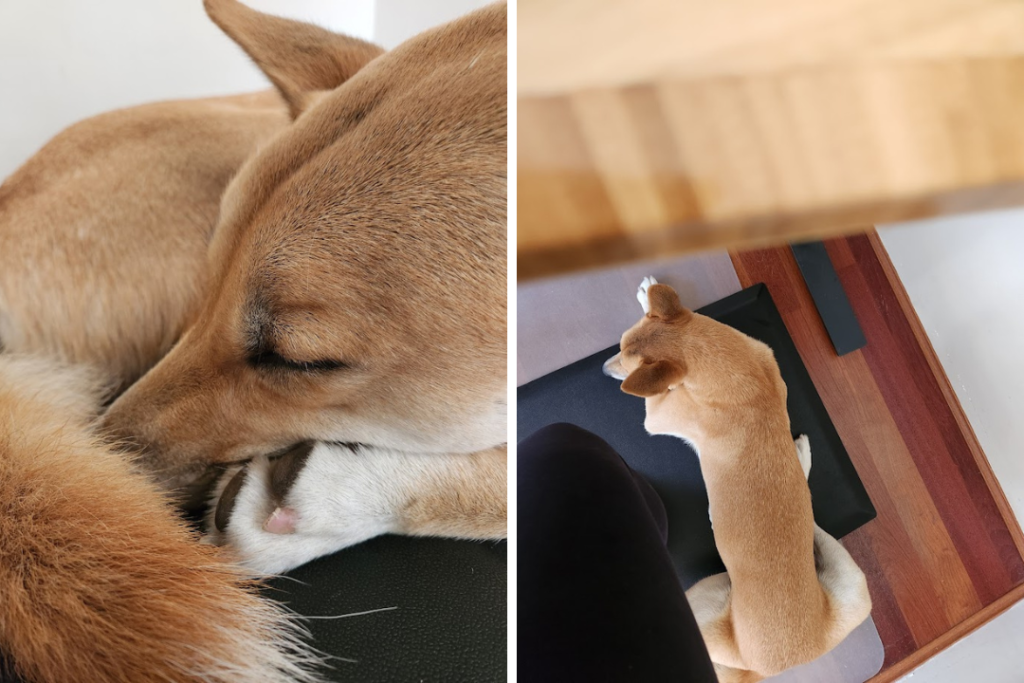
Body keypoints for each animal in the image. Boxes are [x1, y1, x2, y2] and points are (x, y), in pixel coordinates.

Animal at [602, 278, 876, 683]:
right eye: (620, 346)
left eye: (625, 359)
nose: (605, 369)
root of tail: (769, 663)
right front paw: (648, 295)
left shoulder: (658, 415)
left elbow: (657, 399)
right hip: (853, 586)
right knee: (812, 520)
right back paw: (798, 463)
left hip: (698, 602)